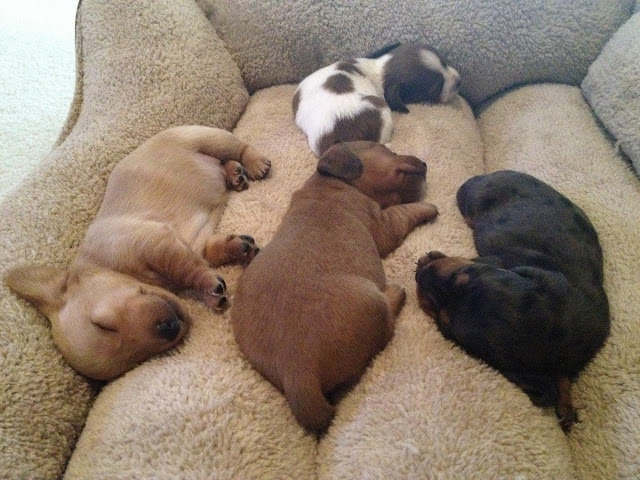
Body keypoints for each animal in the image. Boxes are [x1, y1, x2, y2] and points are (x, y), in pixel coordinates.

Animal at [6, 125, 274, 380]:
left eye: (103, 325)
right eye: (135, 360)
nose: (169, 328)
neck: (103, 265)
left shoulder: (154, 242)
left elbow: (186, 268)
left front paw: (207, 285)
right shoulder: (194, 245)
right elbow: (209, 253)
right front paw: (237, 250)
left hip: (204, 137)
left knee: (237, 147)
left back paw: (253, 164)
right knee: (223, 162)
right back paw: (234, 173)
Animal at [231, 140, 440, 432]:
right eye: (388, 151)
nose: (425, 163)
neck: (330, 183)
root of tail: (297, 373)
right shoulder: (384, 224)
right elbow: (405, 211)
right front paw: (428, 206)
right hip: (372, 303)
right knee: (386, 326)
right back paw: (396, 293)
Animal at [292, 42, 462, 156]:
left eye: (444, 62)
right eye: (437, 87)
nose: (460, 81)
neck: (381, 69)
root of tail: (341, 142)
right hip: (383, 112)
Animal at [416, 171, 608, 434]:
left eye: (445, 326)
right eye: (461, 275)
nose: (420, 275)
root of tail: (485, 175)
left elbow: (561, 377)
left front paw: (566, 405)